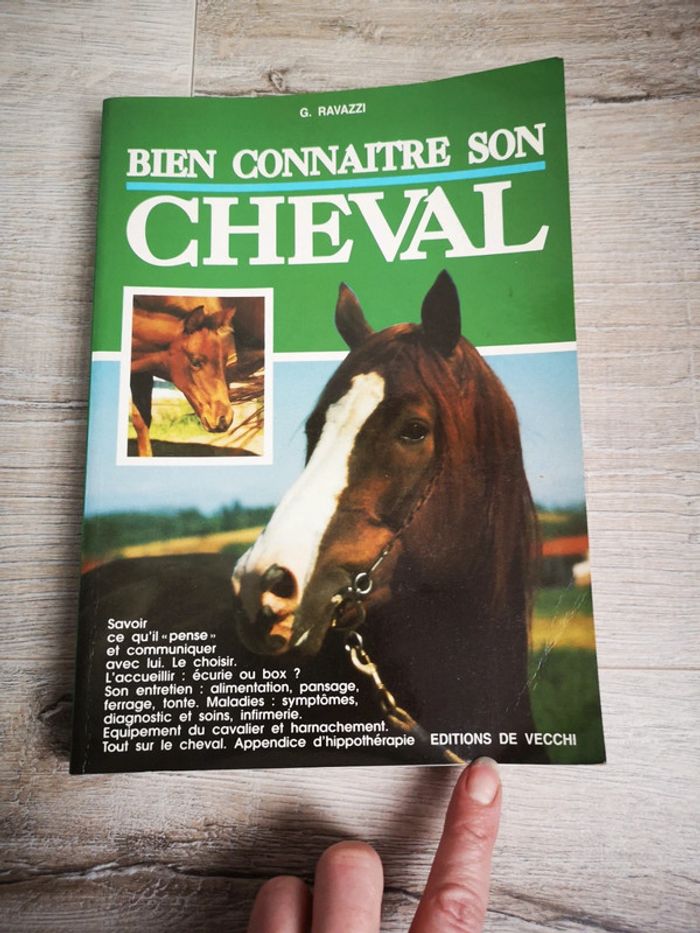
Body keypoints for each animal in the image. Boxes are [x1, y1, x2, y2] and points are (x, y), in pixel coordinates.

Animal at [130, 296, 236, 456]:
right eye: (195, 362)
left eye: (224, 361)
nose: (224, 419)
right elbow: (140, 422)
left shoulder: (141, 376)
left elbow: (142, 422)